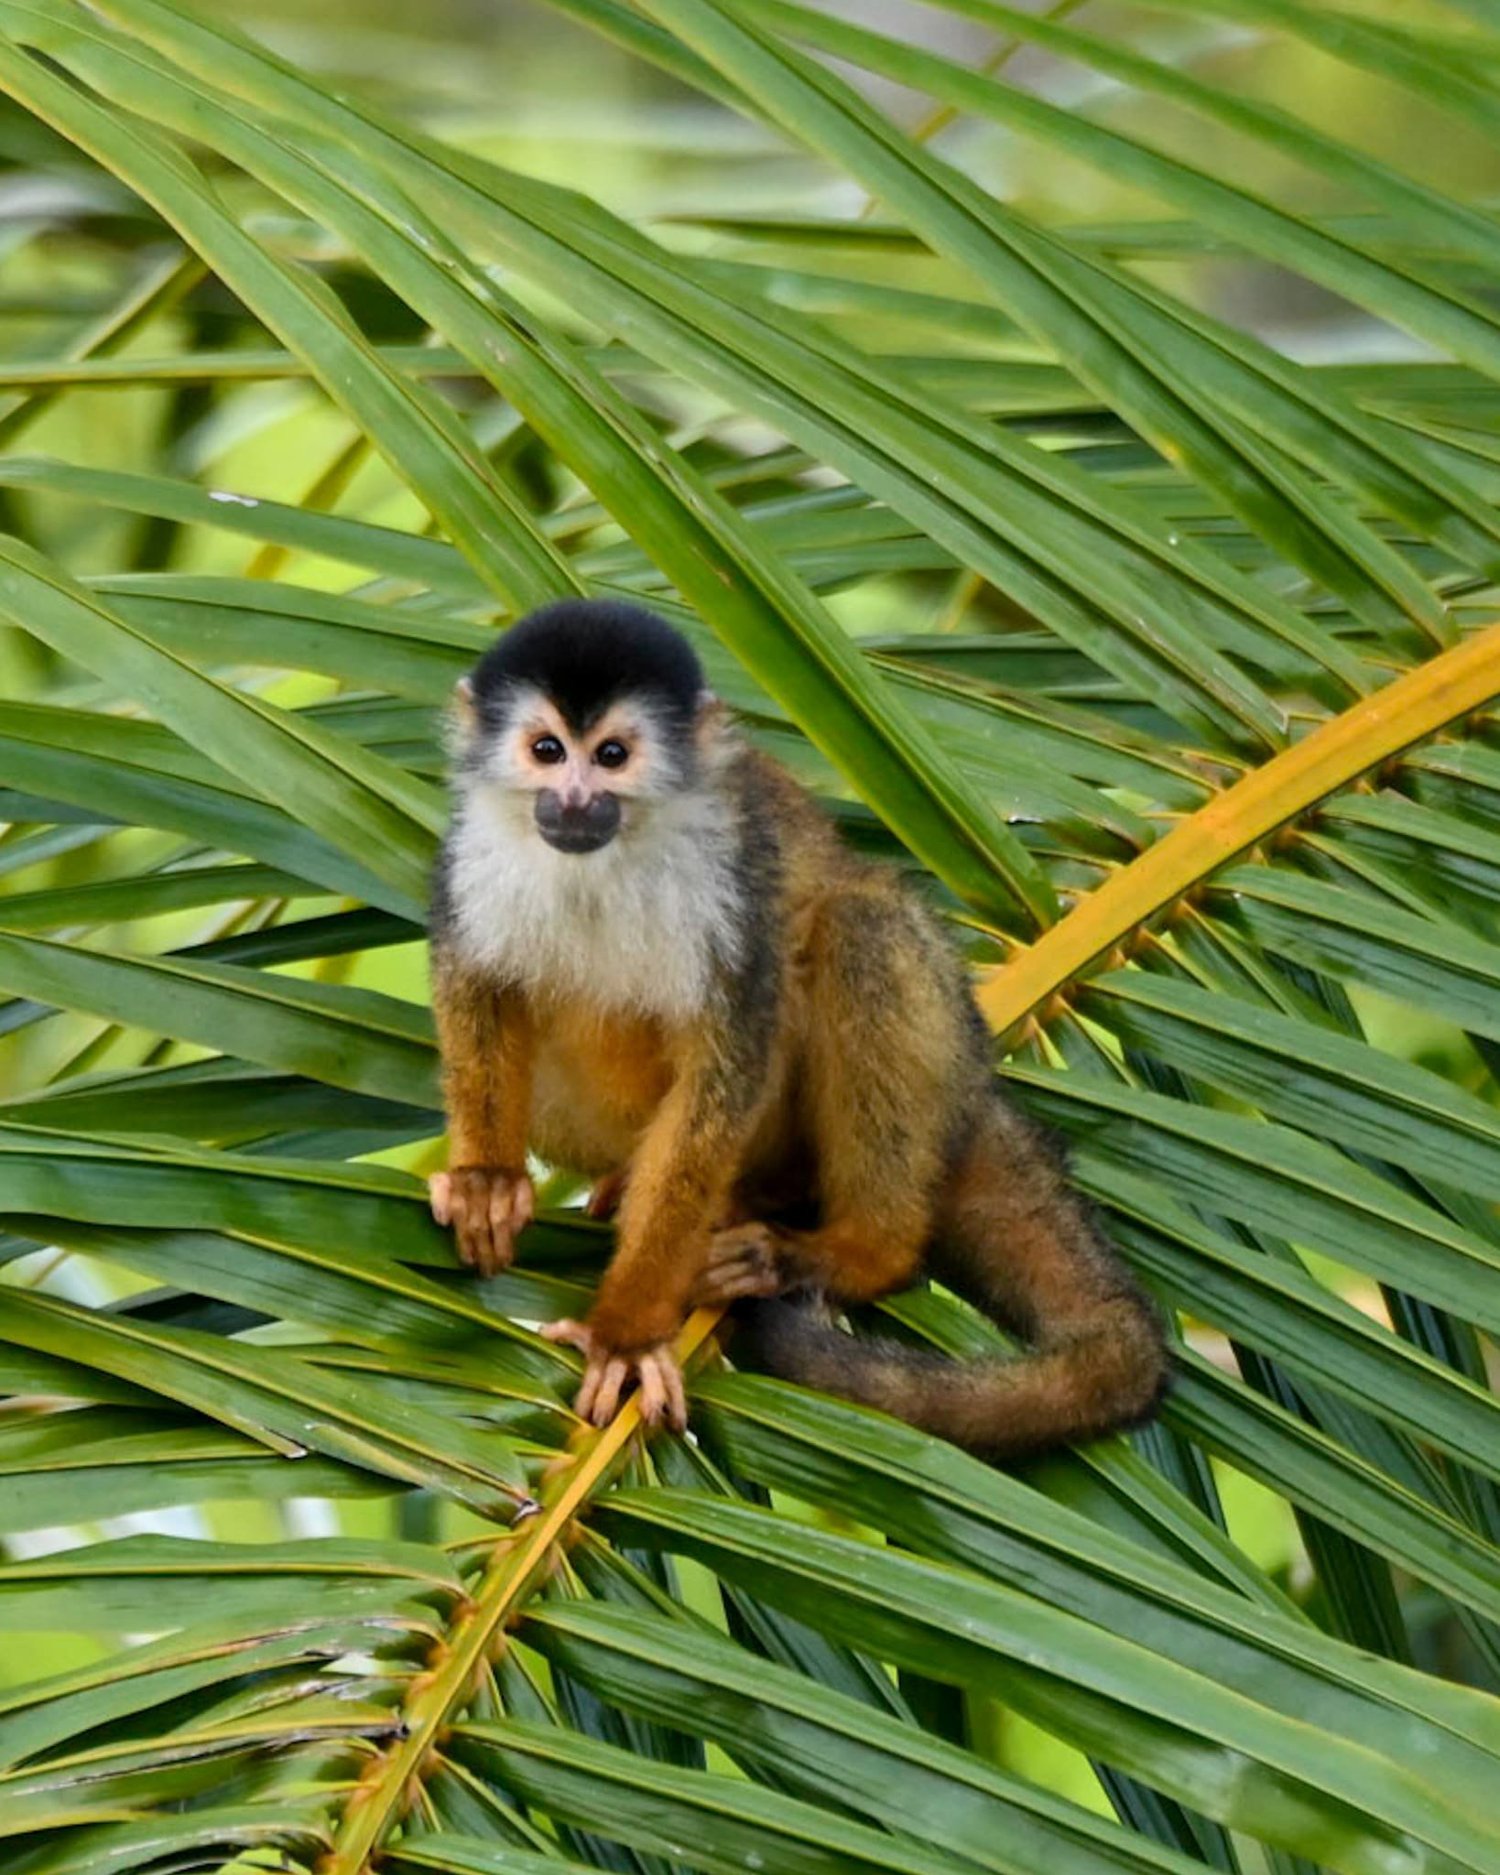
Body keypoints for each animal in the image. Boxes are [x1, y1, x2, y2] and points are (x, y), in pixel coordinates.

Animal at [427, 596, 1169, 1455]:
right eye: (547, 750)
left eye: (611, 755)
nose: (575, 799)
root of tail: (975, 1077)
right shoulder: (469, 853)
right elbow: (477, 986)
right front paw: (487, 1181)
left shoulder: (731, 882)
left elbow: (723, 1075)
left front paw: (627, 1333)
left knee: (861, 925)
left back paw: (857, 1250)